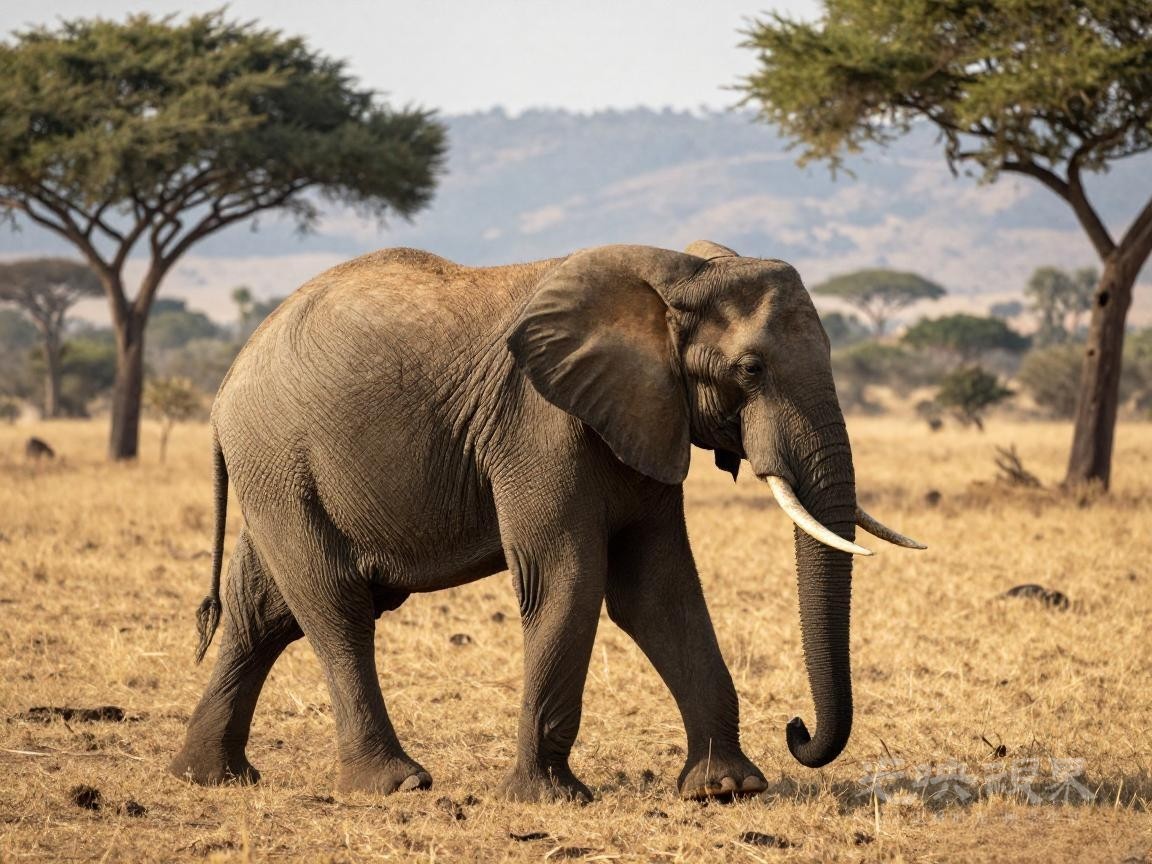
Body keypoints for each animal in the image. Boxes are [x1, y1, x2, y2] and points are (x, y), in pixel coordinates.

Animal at [169, 241, 923, 802]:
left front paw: (725, 790)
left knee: (263, 614)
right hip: (280, 460)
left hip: (277, 473)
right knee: (336, 606)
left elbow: (657, 591)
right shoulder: (539, 423)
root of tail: (227, 382)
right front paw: (547, 797)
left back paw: (210, 777)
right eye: (750, 369)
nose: (798, 729)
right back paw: (395, 784)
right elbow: (566, 576)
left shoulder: (645, 415)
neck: (679, 274)